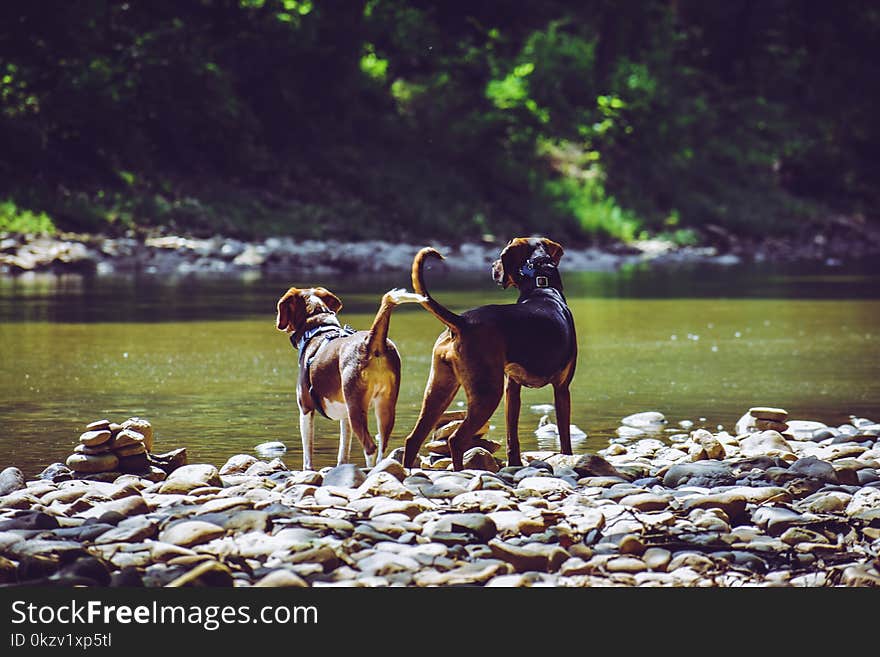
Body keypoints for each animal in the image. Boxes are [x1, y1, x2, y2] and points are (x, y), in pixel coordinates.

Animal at [276, 284, 424, 468]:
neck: (317, 328)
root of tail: (371, 341)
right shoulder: (345, 415)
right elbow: (343, 450)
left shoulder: (305, 408)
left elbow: (308, 453)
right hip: (385, 407)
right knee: (382, 446)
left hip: (356, 409)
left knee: (370, 448)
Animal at [400, 238, 576, 468]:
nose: (492, 266)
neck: (542, 287)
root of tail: (462, 321)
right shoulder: (562, 389)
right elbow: (564, 438)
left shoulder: (512, 389)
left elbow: (512, 436)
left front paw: (515, 464)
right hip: (487, 394)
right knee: (456, 440)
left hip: (439, 389)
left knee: (413, 439)